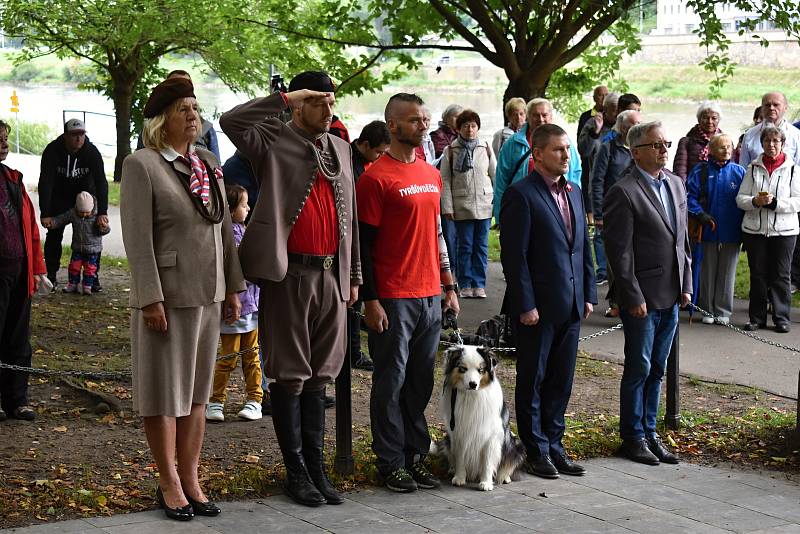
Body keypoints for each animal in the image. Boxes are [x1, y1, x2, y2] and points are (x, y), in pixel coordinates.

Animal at [432, 346, 524, 492]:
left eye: (480, 370)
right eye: (463, 368)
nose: (473, 384)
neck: (471, 396)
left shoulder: (491, 436)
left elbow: (487, 461)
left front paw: (486, 483)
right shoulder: (458, 432)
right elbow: (460, 457)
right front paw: (459, 478)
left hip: (516, 444)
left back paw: (505, 477)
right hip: (447, 440)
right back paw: (452, 470)